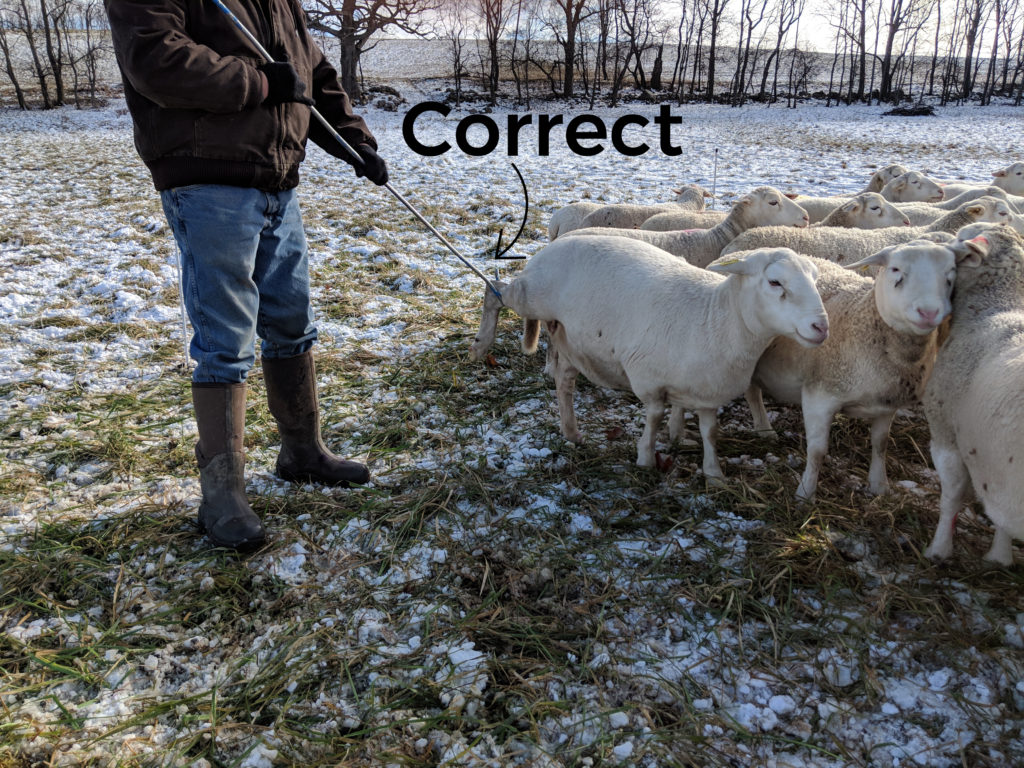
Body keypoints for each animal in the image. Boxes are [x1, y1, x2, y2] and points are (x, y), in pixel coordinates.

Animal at [468, 237, 829, 481]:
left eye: (815, 280)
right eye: (775, 282)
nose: (822, 327)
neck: (716, 317)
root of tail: (553, 244)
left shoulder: (708, 391)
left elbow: (710, 431)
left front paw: (713, 472)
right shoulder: (647, 377)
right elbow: (654, 416)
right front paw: (645, 458)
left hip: (572, 339)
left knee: (564, 381)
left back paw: (571, 431)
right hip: (533, 295)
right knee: (494, 291)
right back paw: (480, 344)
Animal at [739, 240, 957, 501]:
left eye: (950, 274)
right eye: (895, 269)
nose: (929, 312)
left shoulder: (887, 404)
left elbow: (881, 444)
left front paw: (879, 485)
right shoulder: (819, 395)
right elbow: (817, 451)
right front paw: (805, 493)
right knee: (752, 392)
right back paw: (764, 429)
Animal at [921, 224, 1024, 566]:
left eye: (961, 236)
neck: (998, 305)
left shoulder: (946, 433)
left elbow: (951, 498)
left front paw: (938, 550)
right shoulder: (995, 464)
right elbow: (1001, 515)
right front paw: (999, 557)